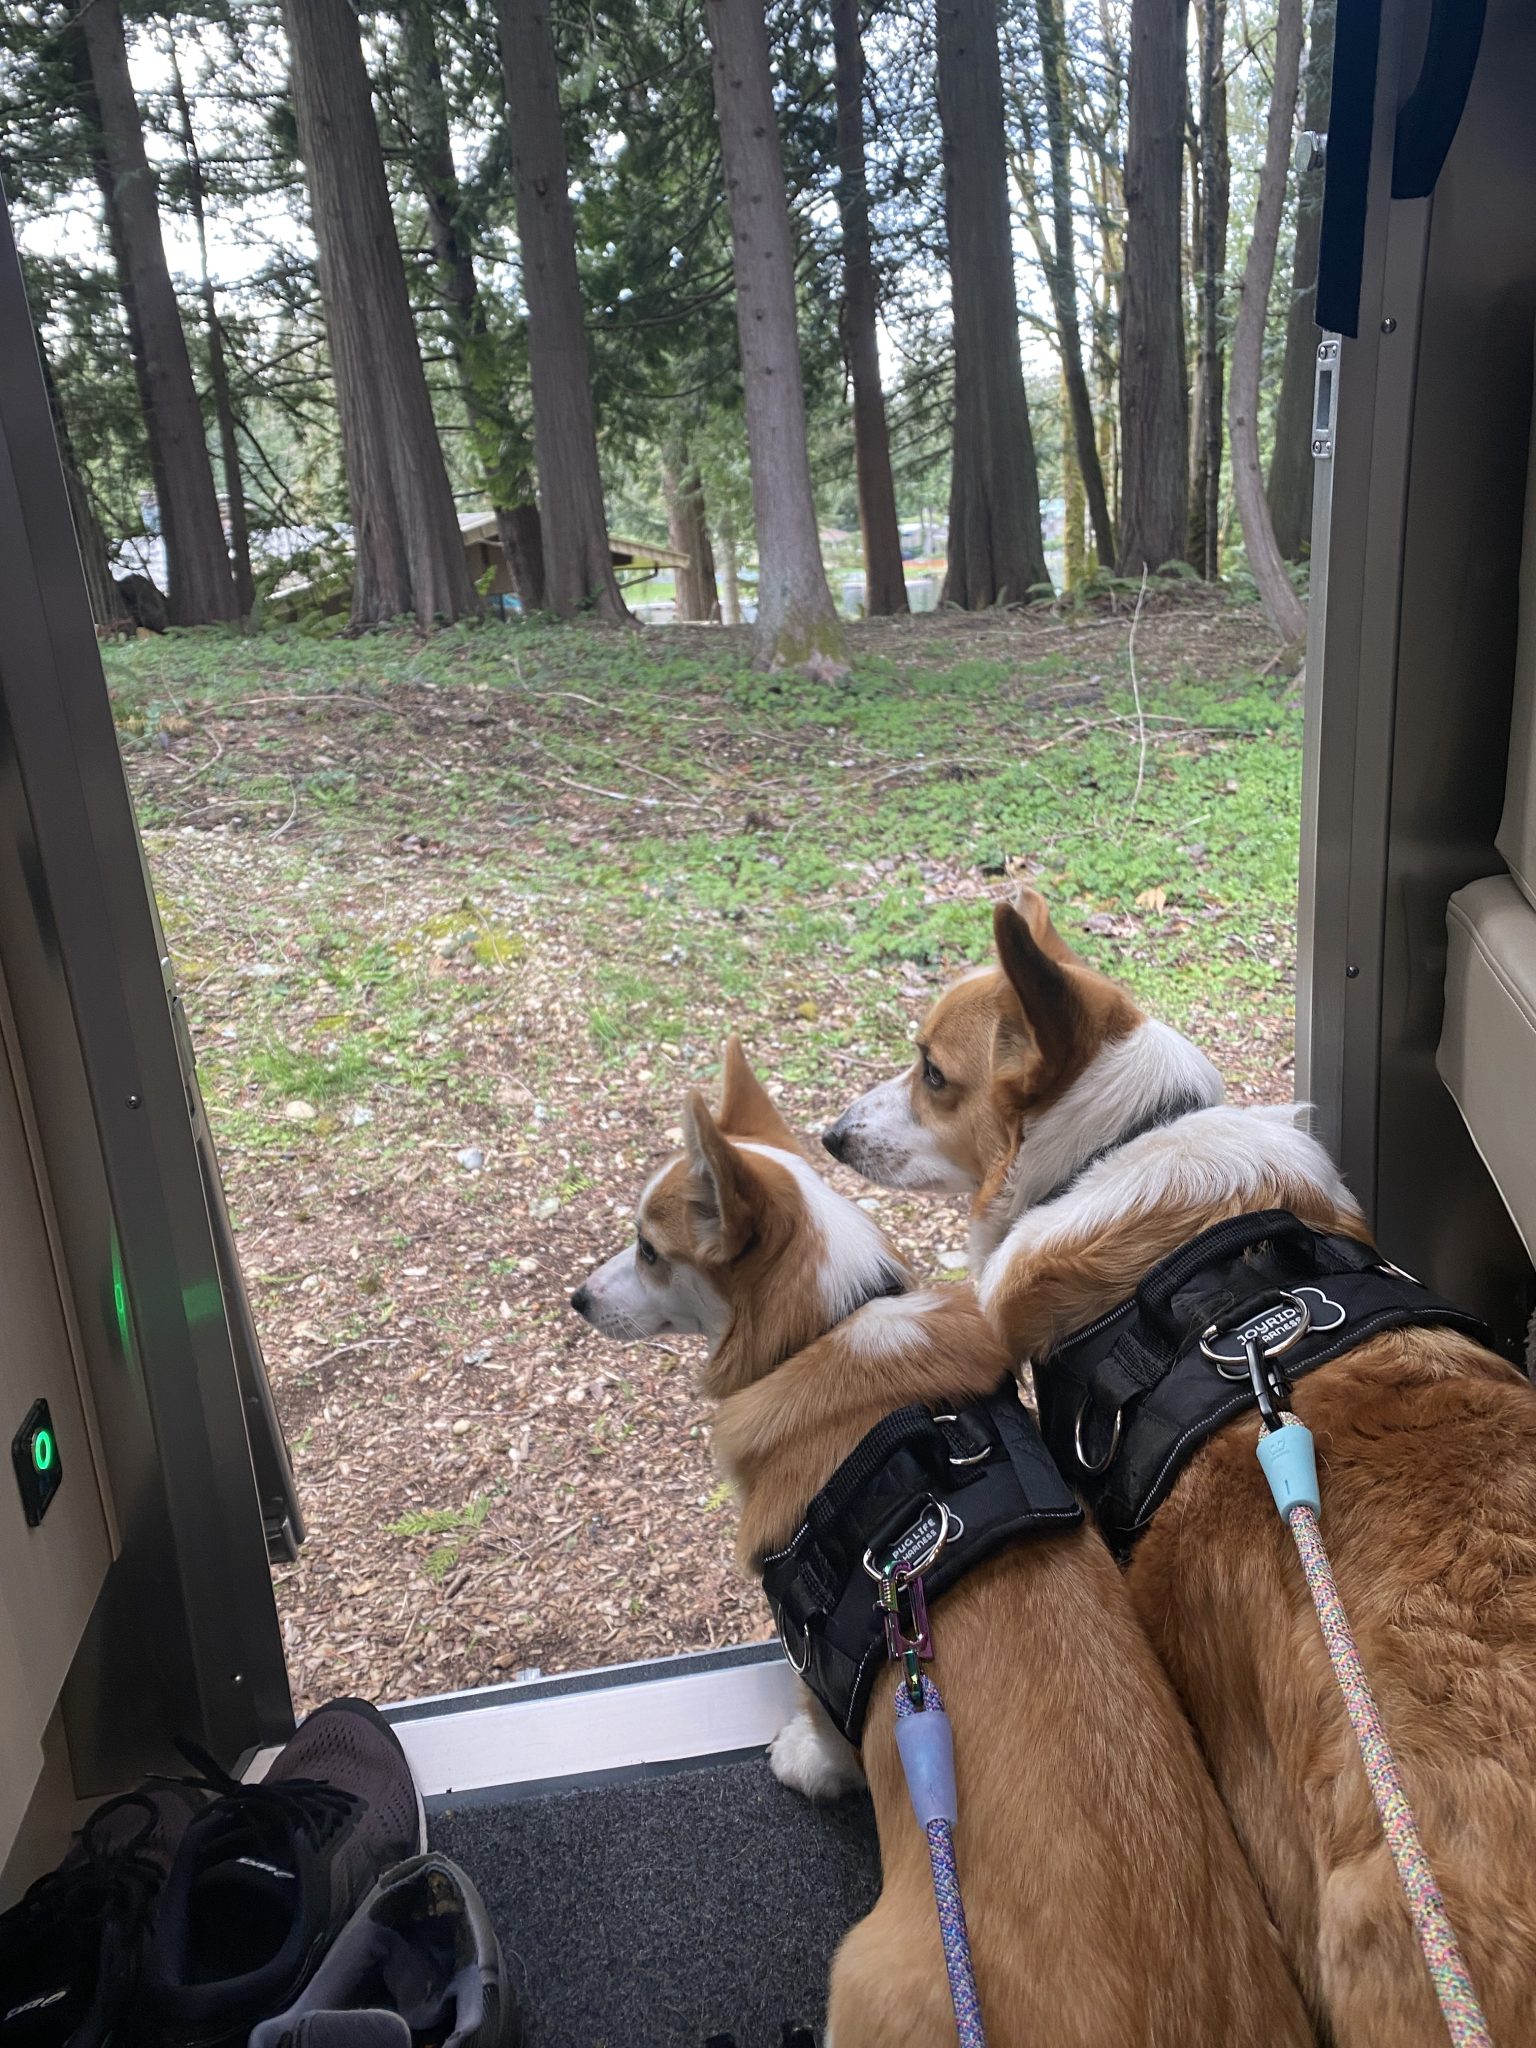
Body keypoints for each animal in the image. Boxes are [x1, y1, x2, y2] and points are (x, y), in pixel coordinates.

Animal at [572, 1038, 1313, 2046]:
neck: (829, 1323)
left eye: (650, 1251)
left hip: (862, 1969)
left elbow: (821, 1727)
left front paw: (802, 1762)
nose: (574, 1298)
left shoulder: (818, 1646)